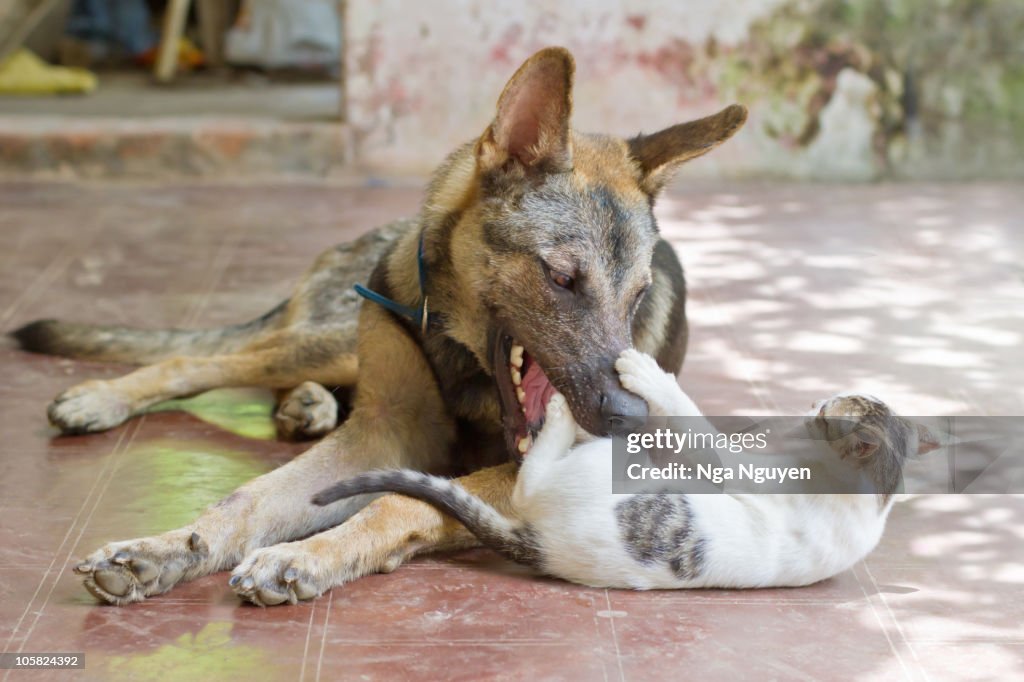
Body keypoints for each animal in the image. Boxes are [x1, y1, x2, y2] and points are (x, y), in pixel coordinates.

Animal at [14, 46, 745, 606]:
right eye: (563, 278)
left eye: (638, 296)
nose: (634, 423)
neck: (463, 358)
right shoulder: (384, 433)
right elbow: (249, 500)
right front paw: (169, 547)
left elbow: (401, 501)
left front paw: (311, 554)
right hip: (331, 341)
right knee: (203, 360)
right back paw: (105, 397)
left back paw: (304, 406)